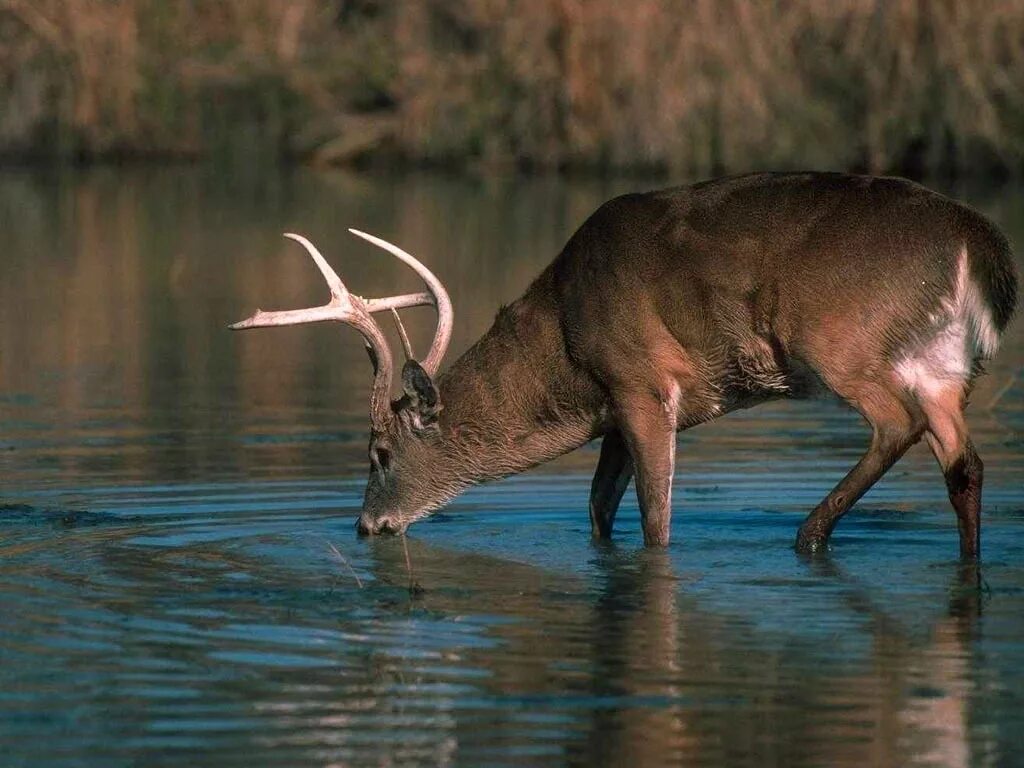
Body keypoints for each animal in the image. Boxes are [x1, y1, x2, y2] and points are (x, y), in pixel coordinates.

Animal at [232, 173, 1015, 561]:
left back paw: (807, 537)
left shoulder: (641, 382)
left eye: (380, 453)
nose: (368, 527)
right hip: (941, 365)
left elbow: (654, 521)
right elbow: (597, 509)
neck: (563, 347)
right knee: (964, 463)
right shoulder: (612, 407)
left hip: (841, 340)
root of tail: (979, 243)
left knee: (895, 424)